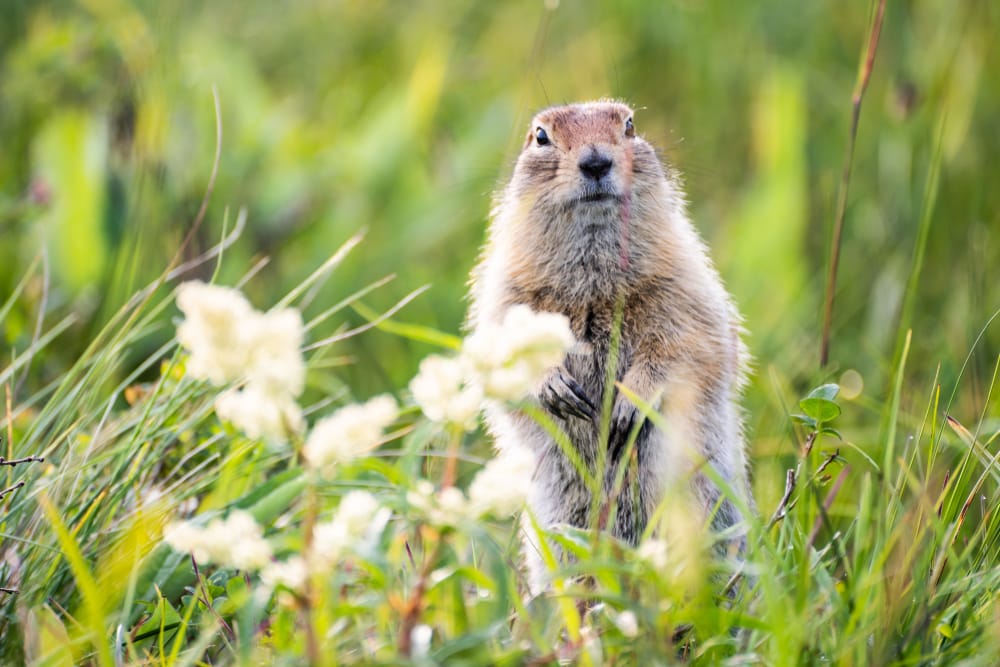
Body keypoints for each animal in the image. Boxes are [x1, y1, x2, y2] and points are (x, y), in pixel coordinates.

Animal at [468, 99, 752, 588]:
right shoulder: (507, 296)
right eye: (540, 136)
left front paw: (628, 405)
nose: (597, 161)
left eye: (630, 125)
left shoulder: (682, 288)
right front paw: (555, 388)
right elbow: (504, 351)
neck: (593, 283)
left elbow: (685, 347)